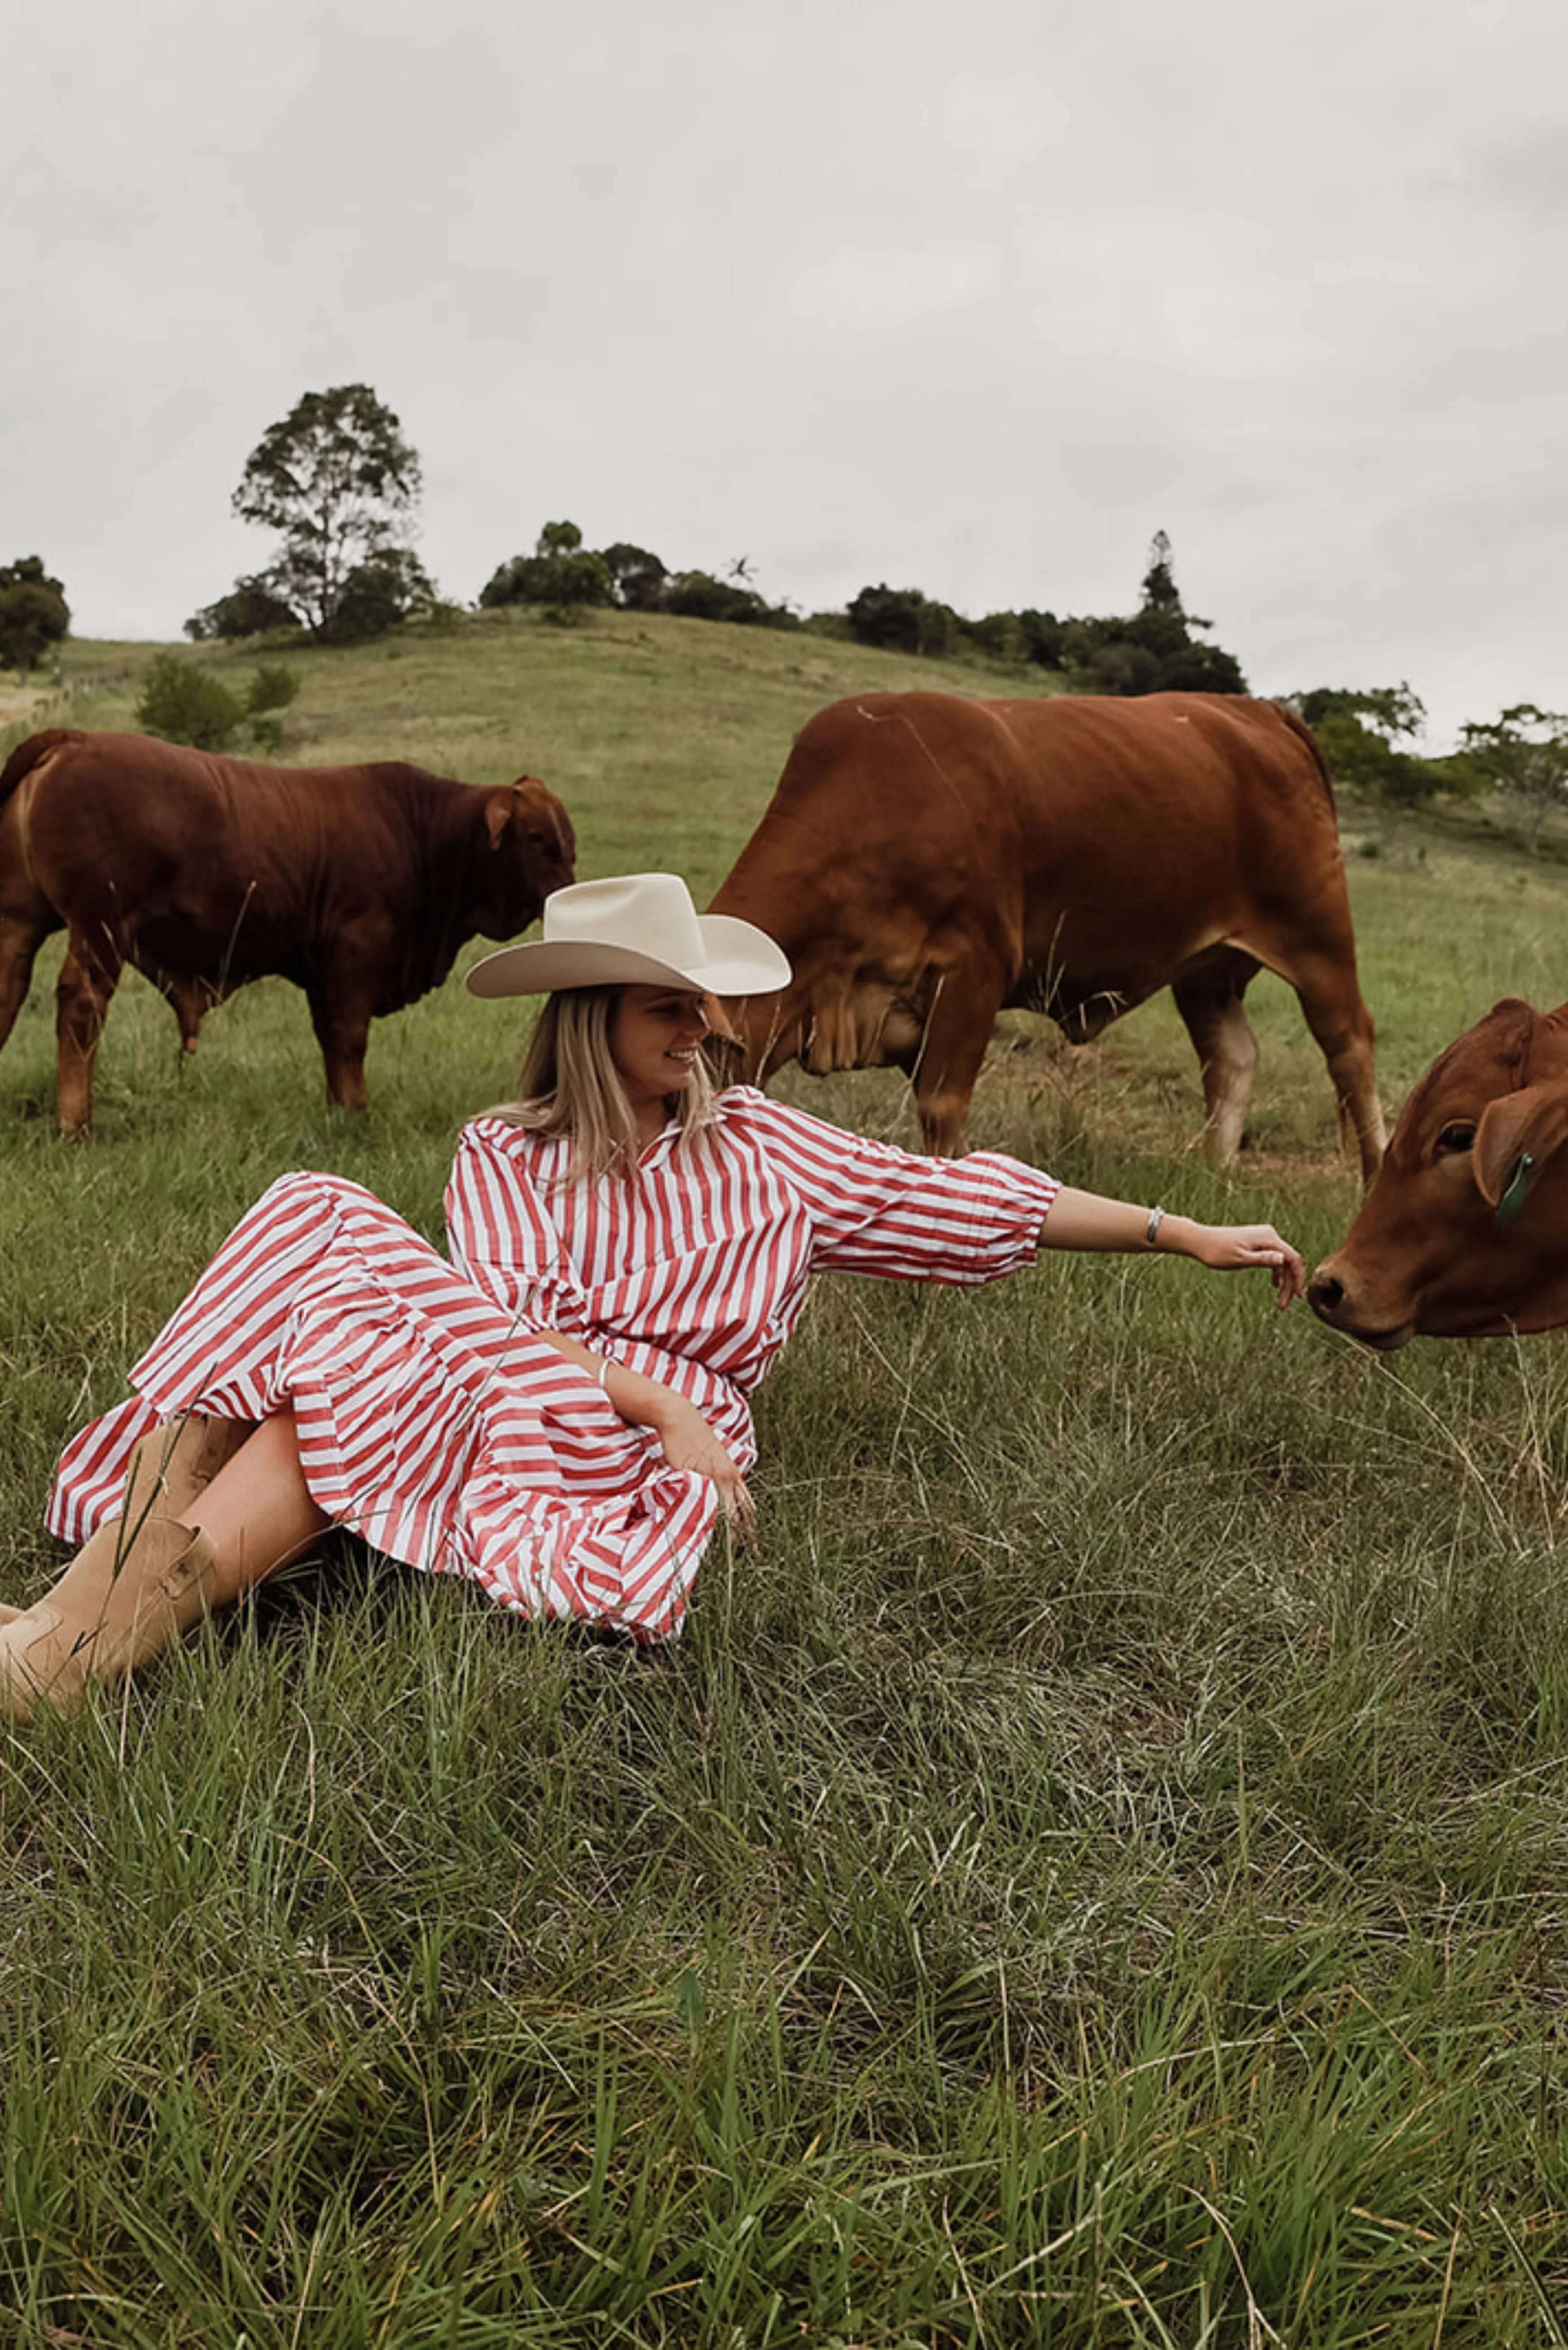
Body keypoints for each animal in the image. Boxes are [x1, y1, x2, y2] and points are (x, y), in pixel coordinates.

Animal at [0, 733, 576, 1137]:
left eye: (568, 842)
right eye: (535, 838)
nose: (570, 889)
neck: (421, 832)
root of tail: (77, 739)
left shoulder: (323, 972)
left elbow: (330, 1040)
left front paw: (339, 1110)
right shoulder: (356, 950)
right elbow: (349, 1037)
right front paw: (357, 1114)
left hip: (20, 924)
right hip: (100, 928)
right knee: (81, 1009)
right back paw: (75, 1125)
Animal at [710, 691, 1382, 1175]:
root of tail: (1258, 708)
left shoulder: (972, 973)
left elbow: (941, 1111)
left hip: (1319, 936)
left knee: (1349, 1046)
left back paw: (1374, 1178)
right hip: (1206, 967)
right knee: (1231, 1057)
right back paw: (1214, 1176)